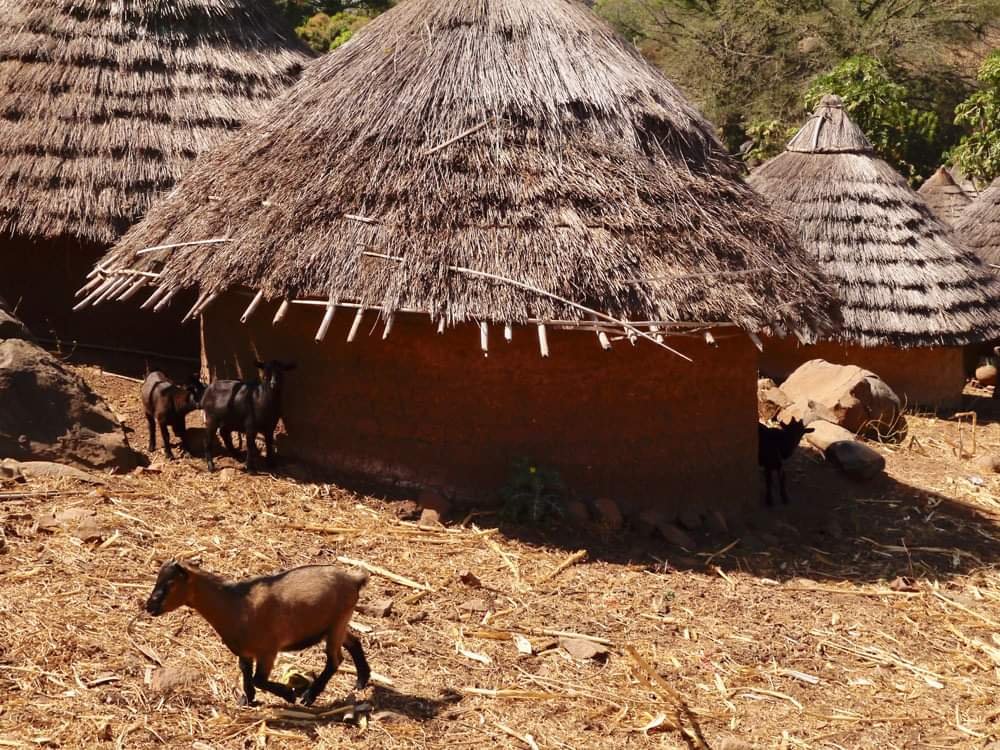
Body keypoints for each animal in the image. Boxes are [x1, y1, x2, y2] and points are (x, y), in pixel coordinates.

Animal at [145, 560, 372, 708]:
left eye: (170, 584)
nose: (149, 606)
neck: (235, 604)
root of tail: (354, 579)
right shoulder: (245, 652)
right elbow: (246, 673)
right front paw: (247, 699)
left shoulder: (268, 651)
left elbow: (258, 679)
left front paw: (290, 694)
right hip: (335, 625)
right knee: (353, 641)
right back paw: (361, 680)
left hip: (337, 624)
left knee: (335, 660)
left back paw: (309, 696)